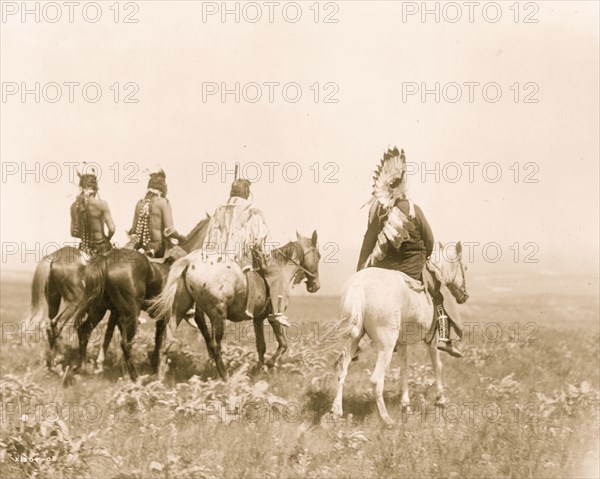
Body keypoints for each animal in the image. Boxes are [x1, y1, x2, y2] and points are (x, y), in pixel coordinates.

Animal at [76, 218, 210, 382]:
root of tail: (106, 260)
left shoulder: (161, 317)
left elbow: (158, 341)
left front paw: (155, 368)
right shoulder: (188, 314)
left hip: (99, 309)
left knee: (84, 330)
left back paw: (82, 368)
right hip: (131, 312)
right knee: (125, 343)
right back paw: (136, 378)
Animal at [148, 231, 322, 380]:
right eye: (318, 256)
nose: (316, 286)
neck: (281, 269)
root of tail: (190, 261)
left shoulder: (258, 318)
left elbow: (261, 346)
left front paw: (258, 370)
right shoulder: (273, 317)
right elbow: (283, 345)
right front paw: (267, 366)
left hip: (177, 312)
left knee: (167, 341)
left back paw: (159, 377)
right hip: (218, 316)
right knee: (215, 345)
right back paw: (225, 377)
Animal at [332, 244, 468, 428]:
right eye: (465, 268)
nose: (464, 297)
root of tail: (359, 286)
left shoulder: (402, 343)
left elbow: (404, 370)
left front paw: (406, 405)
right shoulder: (432, 340)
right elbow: (438, 366)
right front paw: (441, 400)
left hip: (352, 339)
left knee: (342, 370)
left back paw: (337, 411)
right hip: (386, 346)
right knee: (376, 380)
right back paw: (387, 420)